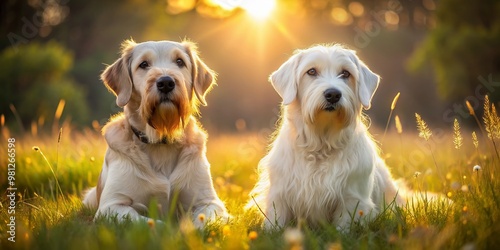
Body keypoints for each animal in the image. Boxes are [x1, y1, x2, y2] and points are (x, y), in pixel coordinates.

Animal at [83, 38, 229, 227]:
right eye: (144, 64)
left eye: (180, 61)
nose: (166, 82)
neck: (161, 141)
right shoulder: (112, 205)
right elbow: (150, 222)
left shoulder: (209, 201)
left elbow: (201, 221)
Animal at [247, 44, 406, 230]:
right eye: (311, 71)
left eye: (346, 73)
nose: (333, 94)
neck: (321, 144)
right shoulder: (279, 196)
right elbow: (276, 223)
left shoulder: (351, 200)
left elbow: (343, 228)